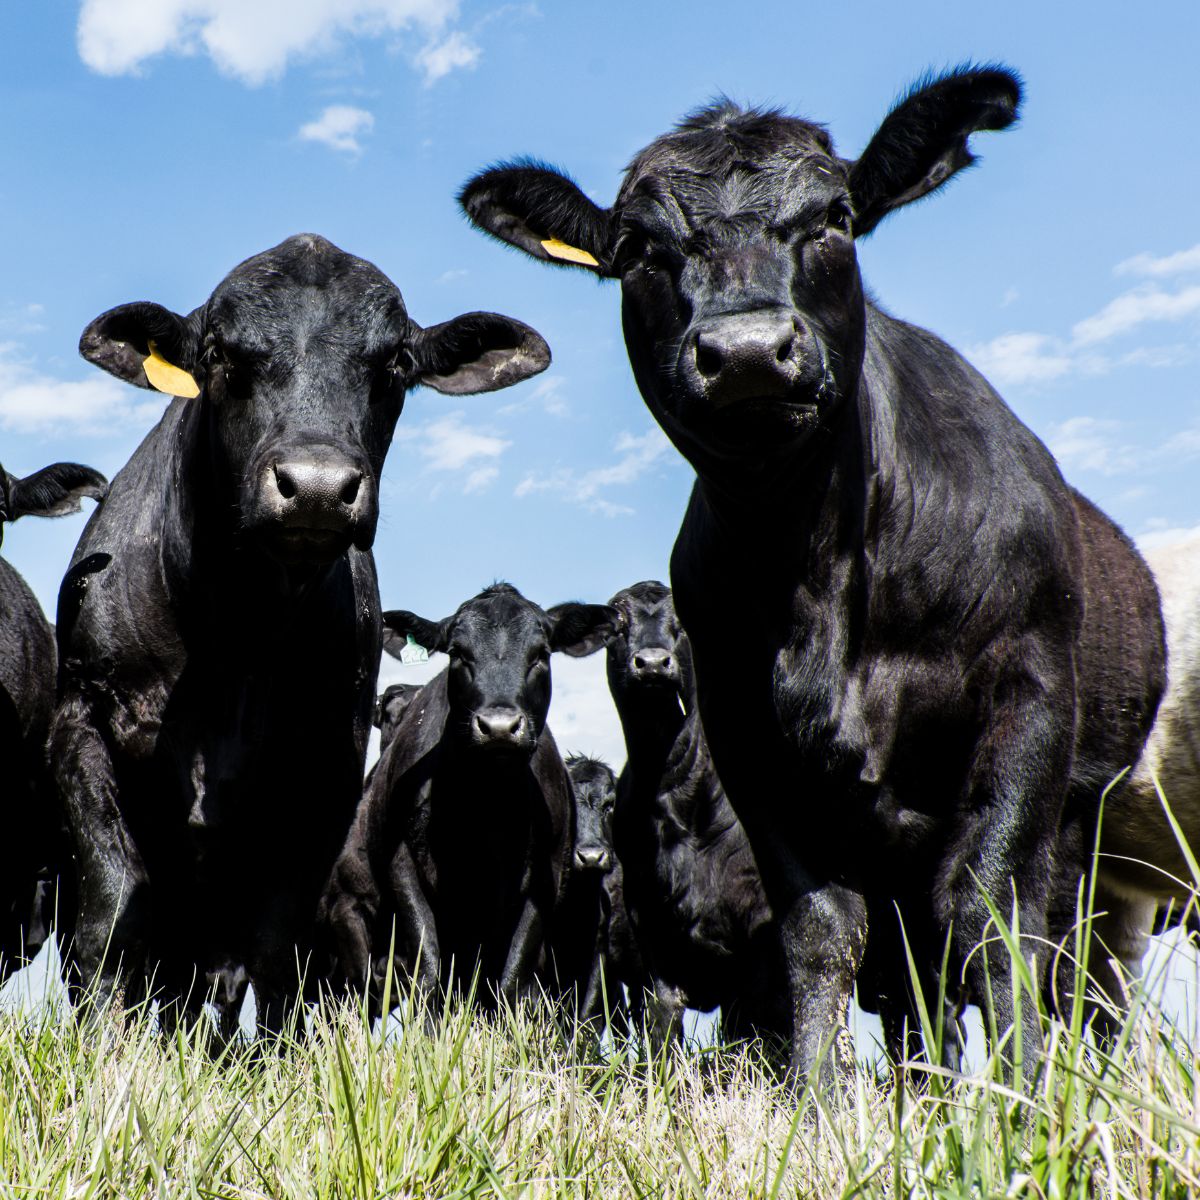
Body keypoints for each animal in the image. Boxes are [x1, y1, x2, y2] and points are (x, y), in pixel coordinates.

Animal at [51, 236, 549, 1032]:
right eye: (219, 354)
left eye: (395, 362)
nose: (316, 486)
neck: (236, 635)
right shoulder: (83, 723)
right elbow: (112, 908)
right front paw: (100, 1040)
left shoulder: (324, 772)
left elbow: (273, 943)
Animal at [321, 585, 619, 1017]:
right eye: (458, 653)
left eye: (541, 653)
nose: (499, 727)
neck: (484, 808)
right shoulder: (401, 869)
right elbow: (428, 970)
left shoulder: (543, 883)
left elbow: (510, 981)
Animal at [588, 583, 787, 1051]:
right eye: (618, 621)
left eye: (681, 621)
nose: (653, 662)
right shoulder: (653, 935)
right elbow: (662, 1029)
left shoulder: (758, 940)